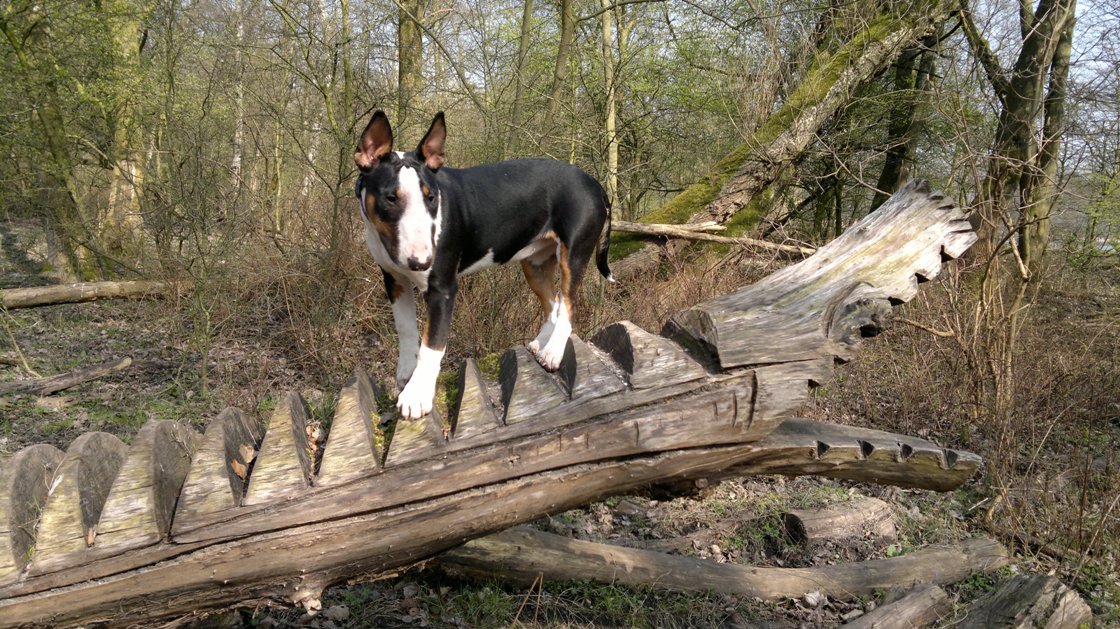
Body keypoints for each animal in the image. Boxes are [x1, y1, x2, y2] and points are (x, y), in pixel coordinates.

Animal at [353, 110, 613, 418]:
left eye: (431, 197)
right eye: (390, 198)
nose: (422, 261)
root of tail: (596, 184)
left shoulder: (442, 290)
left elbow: (432, 343)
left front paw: (417, 395)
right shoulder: (395, 281)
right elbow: (406, 329)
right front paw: (407, 374)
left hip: (573, 255)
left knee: (569, 303)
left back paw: (552, 352)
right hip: (535, 264)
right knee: (555, 303)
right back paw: (542, 343)